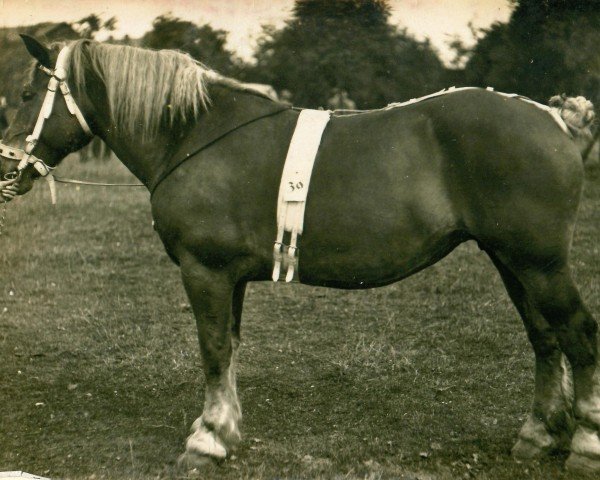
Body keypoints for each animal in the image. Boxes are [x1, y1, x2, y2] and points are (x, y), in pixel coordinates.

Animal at [1, 35, 600, 474]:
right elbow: (229, 350)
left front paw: (207, 439)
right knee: (545, 339)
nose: (7, 169)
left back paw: (585, 444)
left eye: (27, 96)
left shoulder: (205, 272)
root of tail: (556, 120)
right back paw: (538, 435)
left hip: (539, 264)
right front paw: (226, 430)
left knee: (578, 334)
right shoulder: (229, 279)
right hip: (512, 261)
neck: (196, 134)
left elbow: (213, 350)